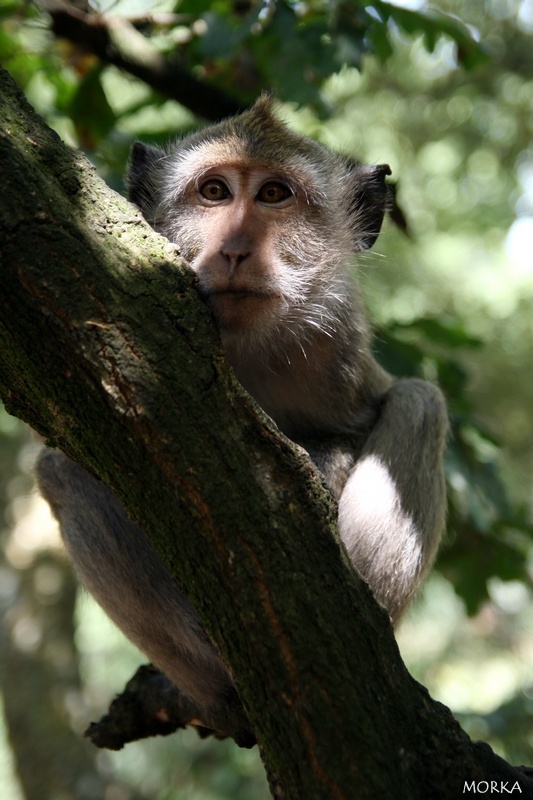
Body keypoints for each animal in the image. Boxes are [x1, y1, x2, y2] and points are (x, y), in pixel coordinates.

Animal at [35, 95, 446, 752]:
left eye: (274, 194)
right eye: (215, 192)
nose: (234, 248)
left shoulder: (338, 346)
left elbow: (356, 427)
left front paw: (321, 465)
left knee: (421, 401)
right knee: (63, 471)